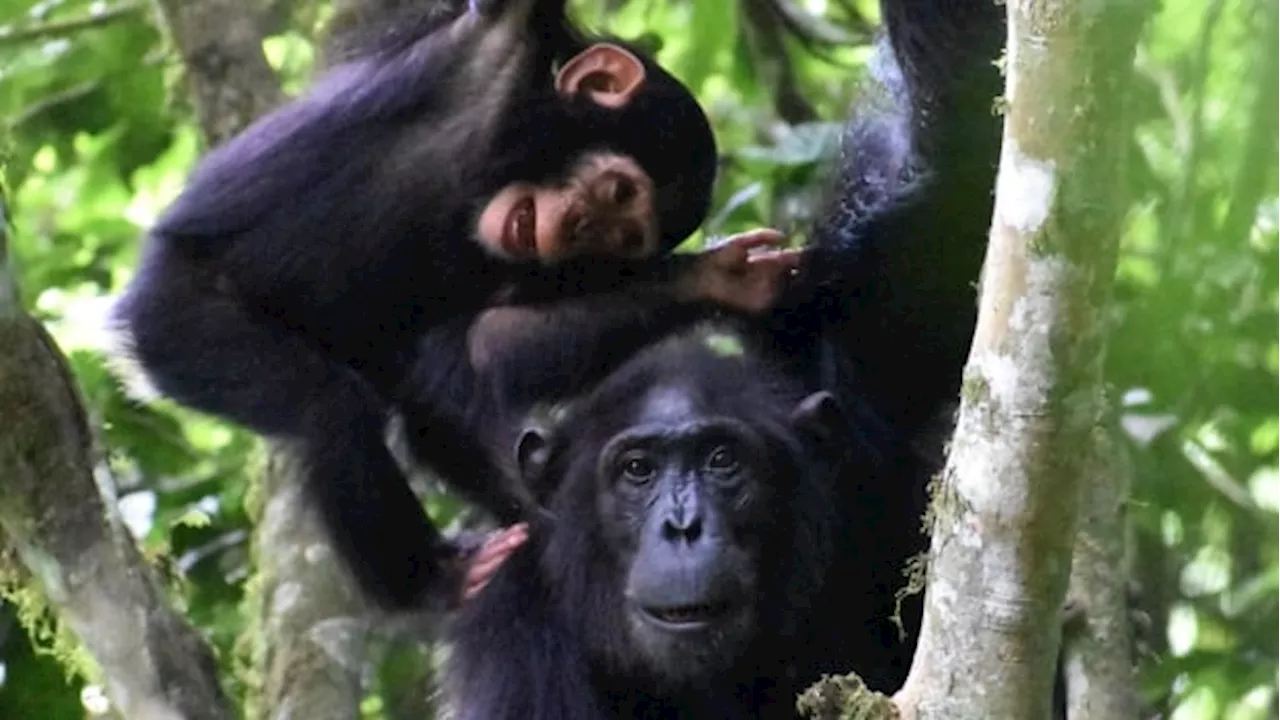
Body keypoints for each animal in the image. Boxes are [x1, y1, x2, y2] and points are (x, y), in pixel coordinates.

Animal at [104, 0, 798, 609]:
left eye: (623, 237)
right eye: (617, 192)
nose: (577, 230)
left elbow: (483, 342)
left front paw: (719, 279)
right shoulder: (502, 46)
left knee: (430, 405)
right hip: (173, 320)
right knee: (329, 409)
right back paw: (429, 582)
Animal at [440, 0, 1008, 712]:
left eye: (721, 460)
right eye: (637, 471)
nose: (683, 526)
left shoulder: (874, 361)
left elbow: (962, 158)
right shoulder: (514, 629)